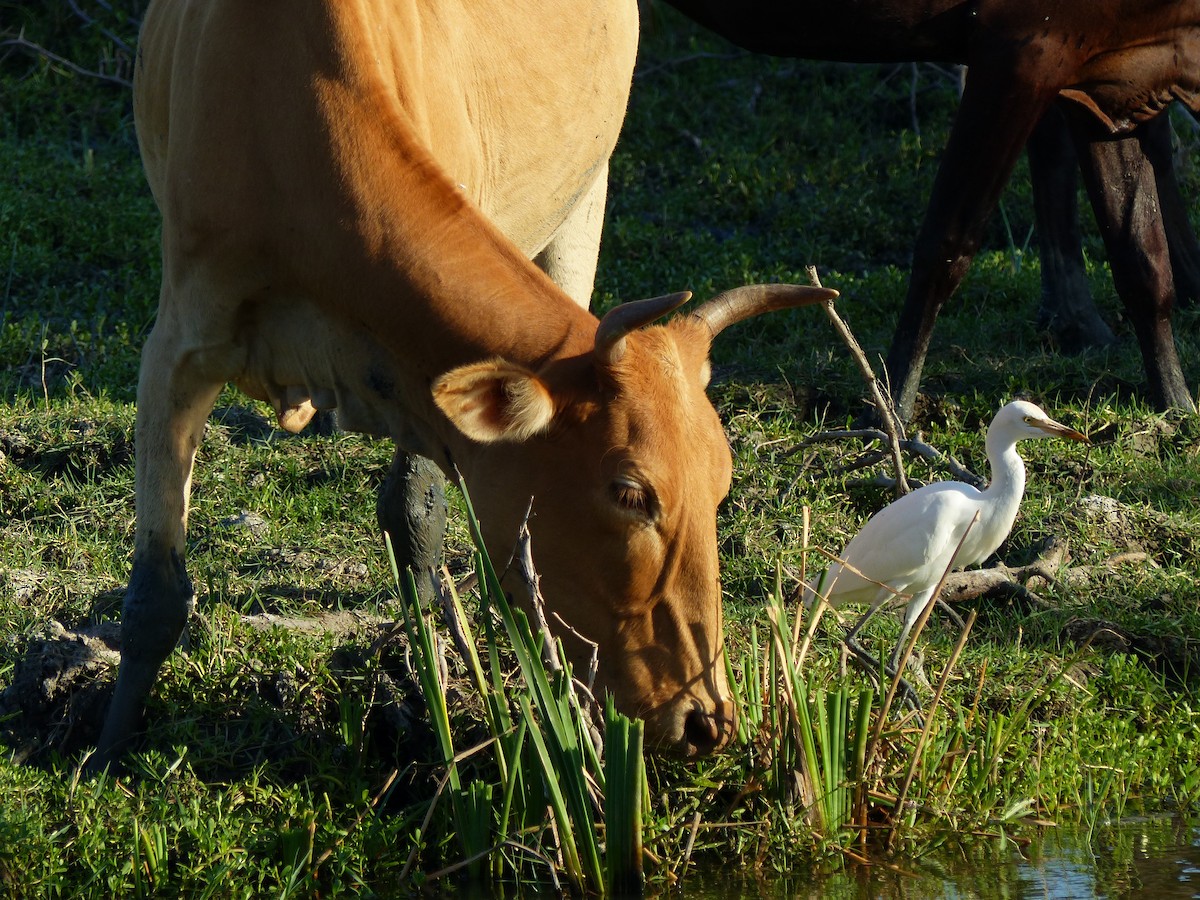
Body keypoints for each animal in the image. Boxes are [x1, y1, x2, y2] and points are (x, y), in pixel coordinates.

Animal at [92, 0, 838, 769]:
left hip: (586, 194)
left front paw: (427, 674)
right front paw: (105, 750)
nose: (704, 719)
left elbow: (413, 510)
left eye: (721, 485)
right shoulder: (179, 345)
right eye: (630, 492)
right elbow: (154, 595)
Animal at [660, 0, 1200, 419]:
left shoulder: (1112, 83)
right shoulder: (1020, 53)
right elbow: (947, 246)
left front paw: (1176, 406)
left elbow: (1142, 260)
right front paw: (891, 413)